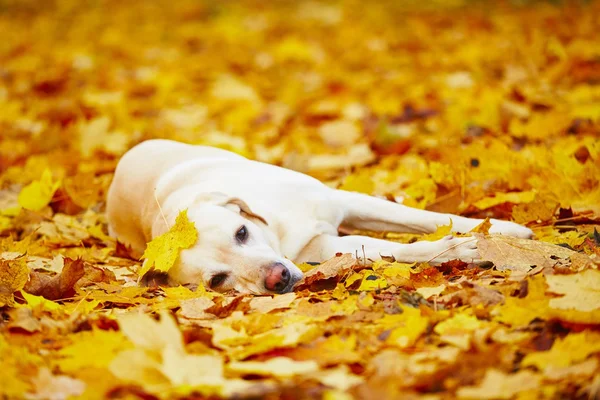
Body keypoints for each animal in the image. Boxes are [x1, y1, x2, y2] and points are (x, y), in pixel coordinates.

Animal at [105, 140, 532, 294]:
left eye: (241, 232)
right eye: (218, 280)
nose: (277, 279)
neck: (277, 230)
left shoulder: (344, 199)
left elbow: (419, 217)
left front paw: (503, 229)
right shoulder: (323, 247)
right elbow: (390, 247)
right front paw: (465, 248)